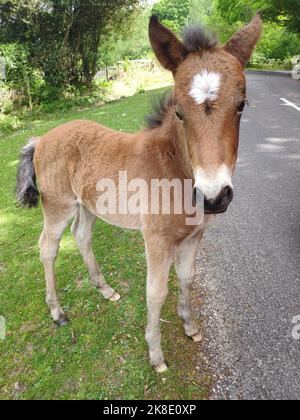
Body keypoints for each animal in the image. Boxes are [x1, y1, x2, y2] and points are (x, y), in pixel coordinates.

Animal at [16, 13, 262, 370]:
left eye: (241, 105)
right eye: (179, 112)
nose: (214, 196)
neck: (174, 170)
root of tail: (41, 138)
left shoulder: (194, 236)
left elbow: (187, 278)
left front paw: (190, 326)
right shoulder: (157, 240)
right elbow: (156, 291)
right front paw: (155, 353)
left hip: (88, 205)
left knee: (81, 236)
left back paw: (105, 289)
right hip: (59, 206)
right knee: (48, 248)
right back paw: (58, 312)